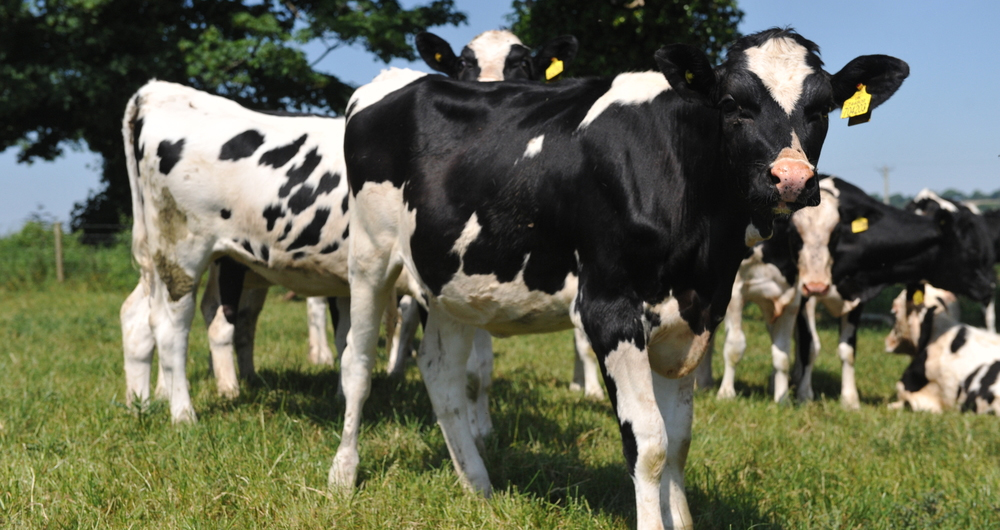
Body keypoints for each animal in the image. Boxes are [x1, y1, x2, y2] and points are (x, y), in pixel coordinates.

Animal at [121, 28, 584, 420]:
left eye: (524, 67)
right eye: (461, 68)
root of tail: (161, 92)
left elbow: (479, 368)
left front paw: (482, 430)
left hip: (169, 254)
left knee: (140, 317)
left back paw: (143, 401)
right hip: (187, 249)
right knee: (178, 327)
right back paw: (186, 412)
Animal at [334, 29, 908, 528]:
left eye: (821, 108)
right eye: (731, 104)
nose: (791, 178)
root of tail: (393, 81)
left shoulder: (694, 316)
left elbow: (679, 442)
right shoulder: (609, 309)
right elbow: (649, 442)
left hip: (452, 285)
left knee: (441, 374)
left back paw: (478, 486)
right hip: (369, 256)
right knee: (357, 364)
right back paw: (344, 474)